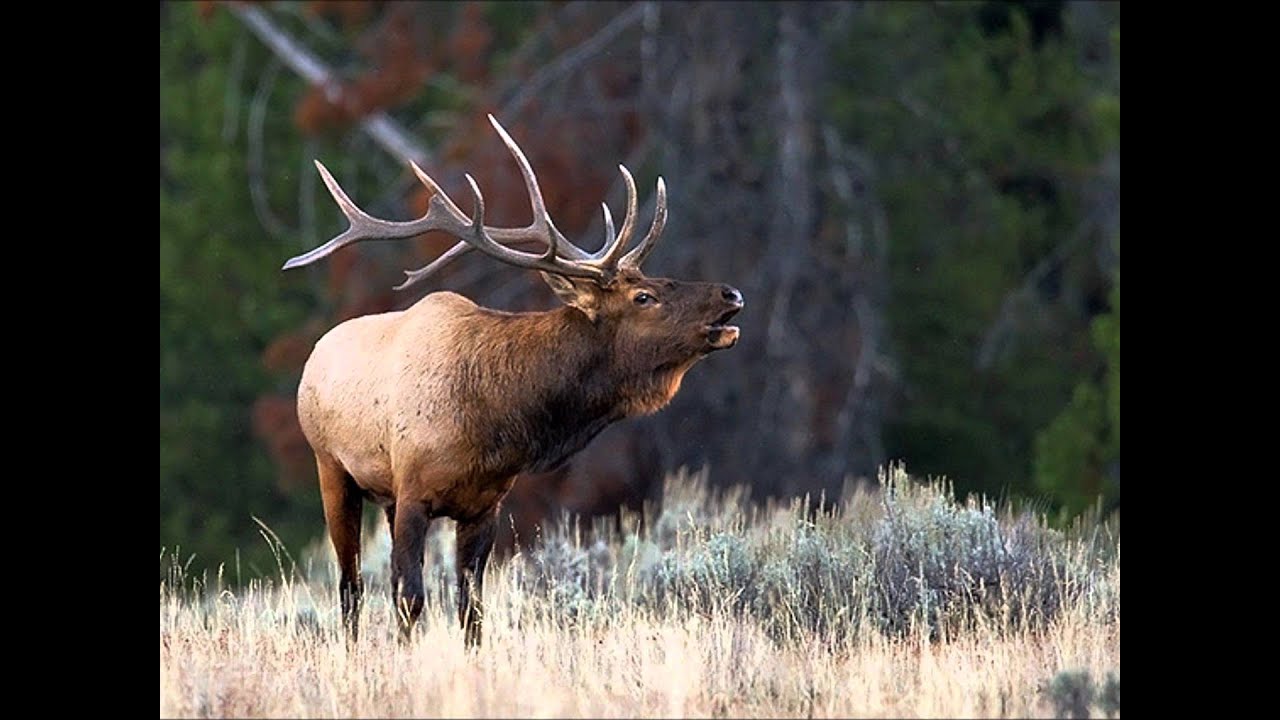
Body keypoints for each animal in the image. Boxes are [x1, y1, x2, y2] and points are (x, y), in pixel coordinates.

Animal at [280, 114, 742, 640]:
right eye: (643, 296)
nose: (730, 294)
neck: (493, 420)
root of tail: (314, 358)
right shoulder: (413, 489)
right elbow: (412, 597)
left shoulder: (485, 505)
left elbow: (470, 609)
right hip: (332, 469)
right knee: (351, 586)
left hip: (384, 496)